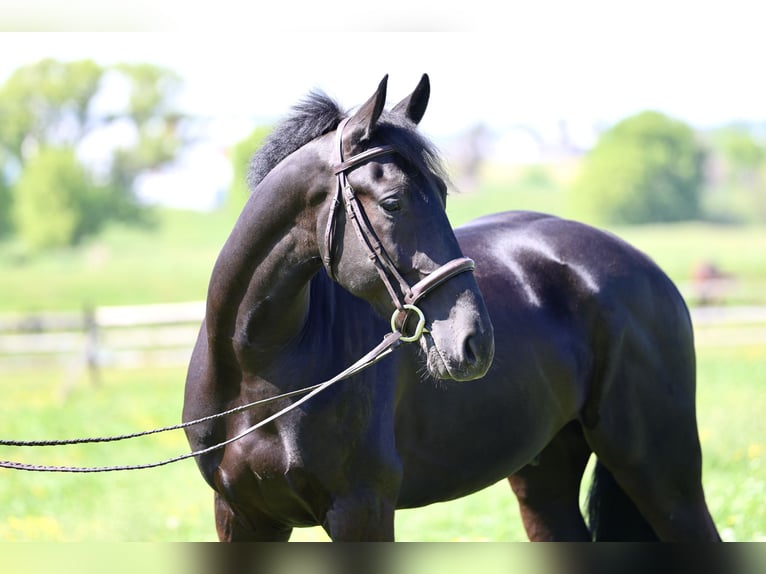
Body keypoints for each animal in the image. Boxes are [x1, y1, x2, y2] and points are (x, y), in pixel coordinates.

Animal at [182, 74, 721, 541]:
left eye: (442, 193)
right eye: (393, 202)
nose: (474, 341)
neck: (259, 368)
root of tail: (645, 267)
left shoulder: (361, 511)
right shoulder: (243, 515)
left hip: (661, 475)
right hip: (545, 476)